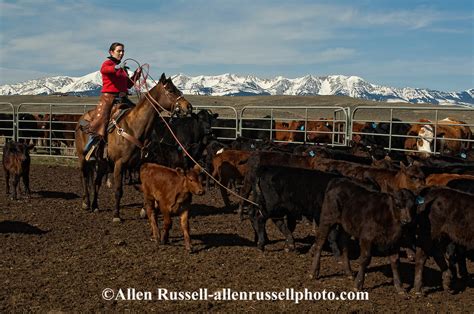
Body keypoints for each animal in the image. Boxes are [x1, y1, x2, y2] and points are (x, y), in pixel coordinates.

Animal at [75, 73, 192, 222]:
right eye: (171, 90)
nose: (188, 107)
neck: (135, 127)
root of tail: (82, 119)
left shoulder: (141, 164)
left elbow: (145, 187)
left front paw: (144, 211)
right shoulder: (119, 164)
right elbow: (118, 190)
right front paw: (116, 215)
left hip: (102, 162)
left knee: (96, 182)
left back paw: (95, 205)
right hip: (82, 157)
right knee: (84, 177)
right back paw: (86, 203)